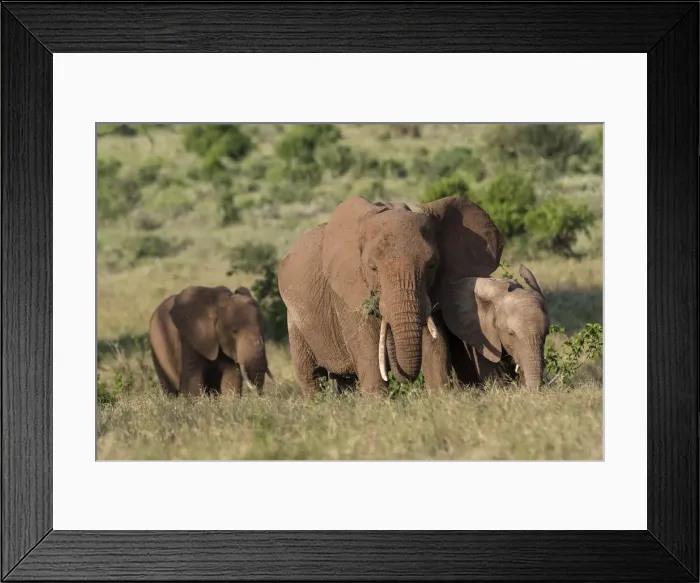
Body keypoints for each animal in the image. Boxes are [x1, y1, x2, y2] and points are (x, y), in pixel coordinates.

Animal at [277, 195, 504, 397]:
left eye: (432, 265)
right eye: (373, 268)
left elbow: (435, 346)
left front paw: (440, 399)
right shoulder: (346, 293)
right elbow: (368, 351)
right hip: (295, 322)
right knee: (310, 376)